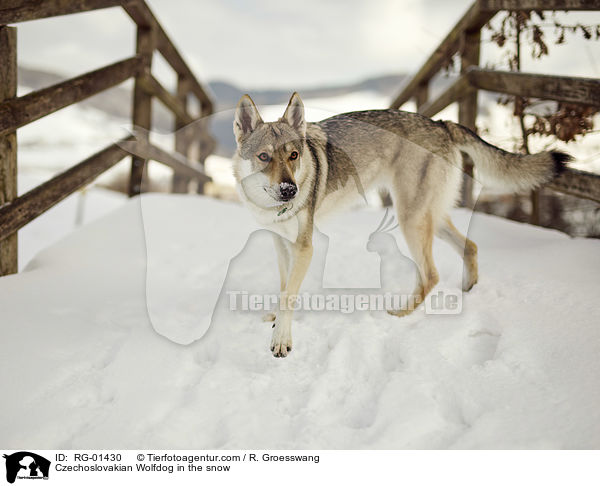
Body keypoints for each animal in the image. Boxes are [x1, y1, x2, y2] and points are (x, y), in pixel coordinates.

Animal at [232, 93, 568, 356]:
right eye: (264, 157)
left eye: (294, 155)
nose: (290, 191)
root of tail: (441, 123)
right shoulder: (280, 242)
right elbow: (283, 286)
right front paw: (276, 319)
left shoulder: (305, 246)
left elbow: (290, 293)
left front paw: (281, 341)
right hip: (430, 218)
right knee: (470, 246)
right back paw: (467, 292)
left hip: (410, 218)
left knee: (431, 275)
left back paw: (401, 314)